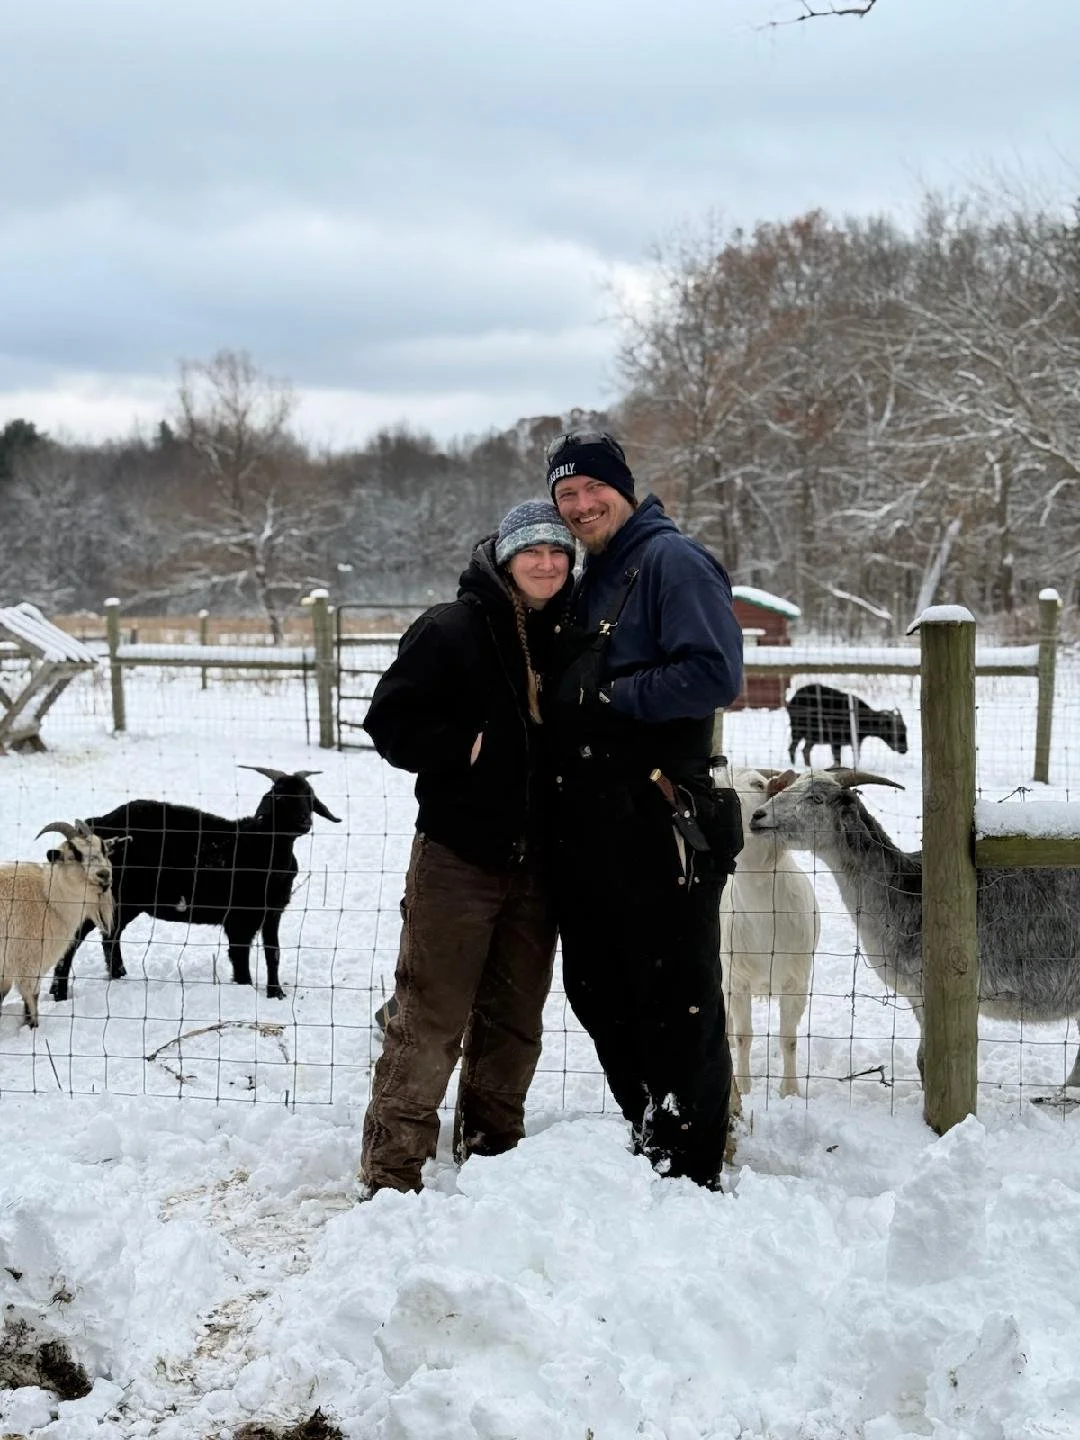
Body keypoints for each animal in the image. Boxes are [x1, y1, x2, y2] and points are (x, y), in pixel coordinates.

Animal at [1, 822, 119, 1027]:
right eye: (75, 854)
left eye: (103, 850)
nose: (104, 875)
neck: (48, 899)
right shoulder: (28, 963)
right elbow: (31, 999)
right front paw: (33, 1027)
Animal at [48, 768, 340, 1003]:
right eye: (279, 798)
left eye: (309, 797)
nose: (305, 821)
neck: (264, 848)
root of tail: (97, 824)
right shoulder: (240, 919)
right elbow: (240, 958)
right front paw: (245, 991)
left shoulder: (272, 914)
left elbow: (273, 954)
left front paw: (276, 994)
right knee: (77, 938)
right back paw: (60, 993)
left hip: (125, 902)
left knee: (111, 935)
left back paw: (119, 975)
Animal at [720, 767, 820, 1098]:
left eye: (758, 784)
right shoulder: (737, 979)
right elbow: (744, 1036)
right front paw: (744, 1087)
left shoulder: (796, 982)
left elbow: (788, 1039)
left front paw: (790, 1092)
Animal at [750, 769, 1080, 1085]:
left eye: (816, 798)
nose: (757, 817)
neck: (907, 891)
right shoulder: (915, 996)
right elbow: (923, 1060)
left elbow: (930, 1060)